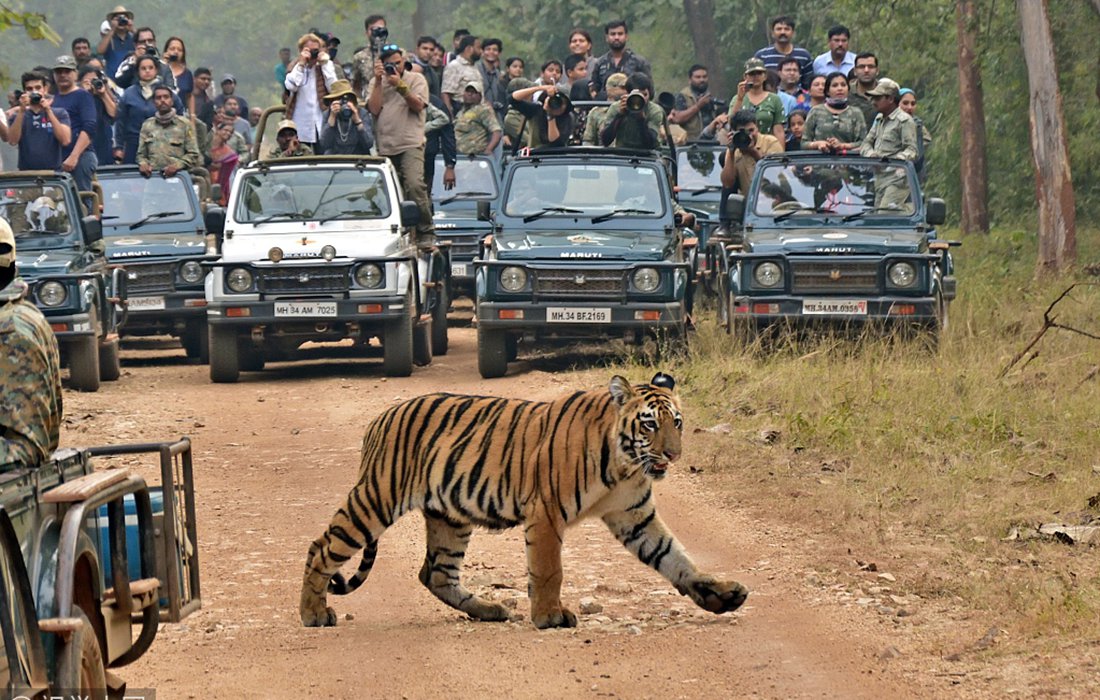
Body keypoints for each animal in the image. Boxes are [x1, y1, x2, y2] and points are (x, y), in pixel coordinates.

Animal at [300, 372, 748, 629]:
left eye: (678, 423)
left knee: (436, 574)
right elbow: (549, 570)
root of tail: (380, 418)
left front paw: (721, 595)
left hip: (450, 517)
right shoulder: (546, 513)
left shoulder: (634, 515)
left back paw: (490, 610)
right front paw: (549, 617)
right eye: (650, 424)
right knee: (322, 547)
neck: (626, 465)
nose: (673, 454)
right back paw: (313, 614)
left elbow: (676, 558)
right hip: (377, 498)